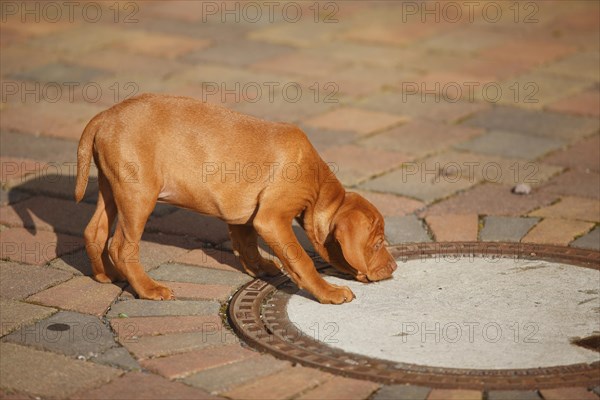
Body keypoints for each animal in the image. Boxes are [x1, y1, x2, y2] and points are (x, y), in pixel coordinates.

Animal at [75, 94, 396, 304]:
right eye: (377, 244)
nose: (394, 268)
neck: (317, 183)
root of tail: (104, 116)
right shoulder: (271, 218)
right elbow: (301, 260)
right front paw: (328, 292)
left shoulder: (246, 214)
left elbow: (246, 243)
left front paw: (261, 267)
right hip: (138, 193)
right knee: (121, 246)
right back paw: (147, 288)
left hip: (111, 186)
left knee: (94, 231)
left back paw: (106, 275)